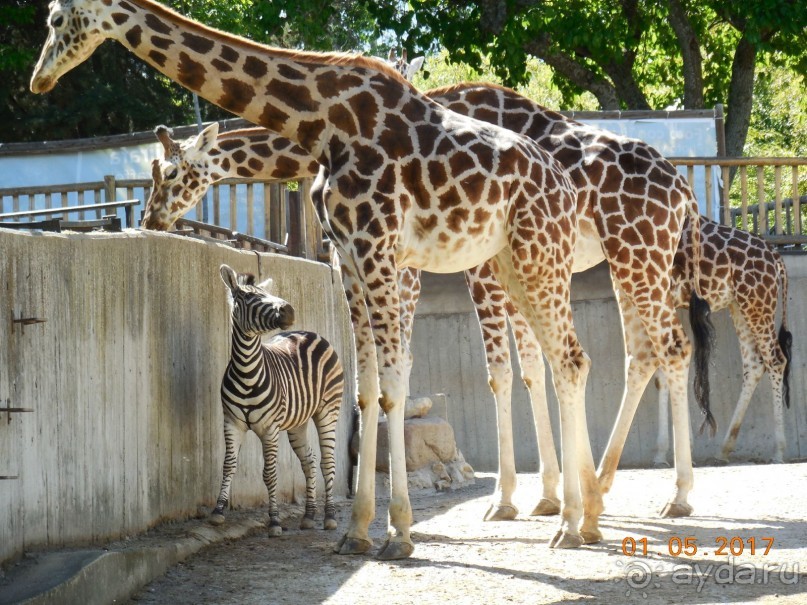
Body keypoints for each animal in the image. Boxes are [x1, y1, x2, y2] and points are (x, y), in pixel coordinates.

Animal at [211, 264, 344, 532]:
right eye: (248, 297)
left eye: (266, 294)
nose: (289, 310)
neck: (247, 371)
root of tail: (307, 332)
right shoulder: (231, 423)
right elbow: (228, 465)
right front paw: (218, 511)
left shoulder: (269, 428)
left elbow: (270, 473)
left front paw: (274, 520)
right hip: (298, 421)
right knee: (309, 461)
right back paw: (308, 516)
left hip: (328, 410)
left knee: (327, 462)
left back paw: (330, 516)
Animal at [652, 219, 792, 464]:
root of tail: (776, 257)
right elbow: (666, 373)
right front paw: (675, 451)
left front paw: (668, 452)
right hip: (738, 306)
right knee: (754, 364)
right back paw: (724, 448)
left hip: (757, 304)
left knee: (775, 360)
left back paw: (778, 450)